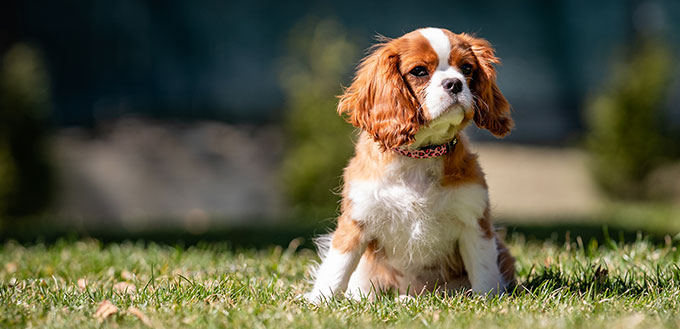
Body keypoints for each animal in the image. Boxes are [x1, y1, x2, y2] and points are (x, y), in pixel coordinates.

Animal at [306, 26, 516, 302]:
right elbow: (337, 267)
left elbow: (484, 272)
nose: (455, 83)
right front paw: (319, 301)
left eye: (467, 68)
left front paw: (487, 301)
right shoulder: (356, 220)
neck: (419, 156)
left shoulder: (474, 222)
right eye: (419, 71)